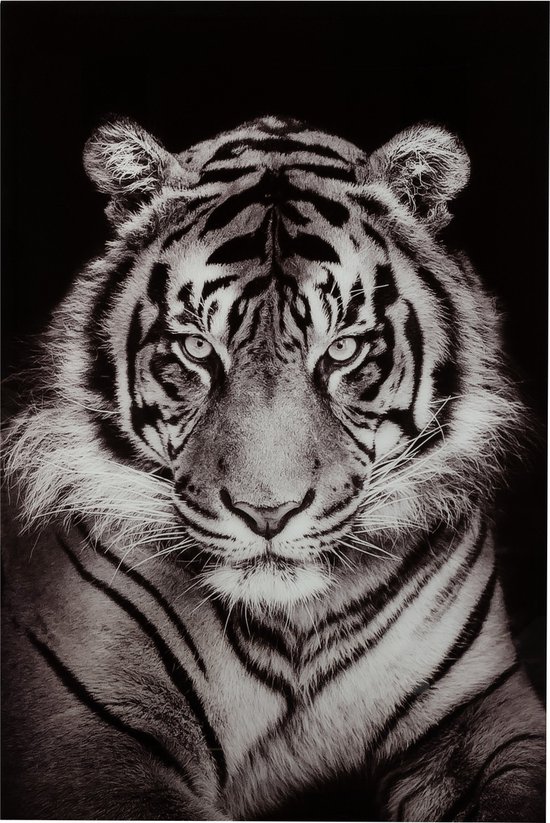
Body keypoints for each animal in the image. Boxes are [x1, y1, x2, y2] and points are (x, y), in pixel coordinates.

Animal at [2, 115, 545, 822]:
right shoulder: (89, 739)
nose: (267, 513)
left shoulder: (489, 708)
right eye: (196, 348)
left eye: (342, 349)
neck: (296, 628)